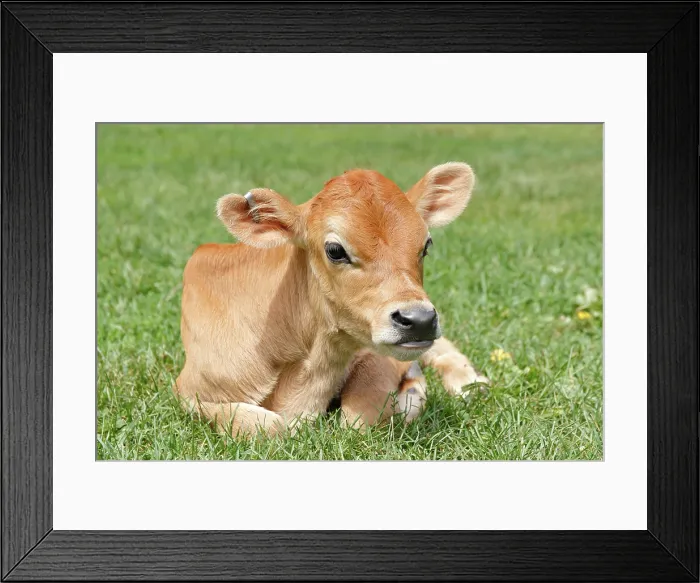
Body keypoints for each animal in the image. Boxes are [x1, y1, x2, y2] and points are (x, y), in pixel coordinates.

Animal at [174, 162, 489, 437]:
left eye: (426, 245)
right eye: (335, 250)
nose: (420, 319)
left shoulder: (377, 352)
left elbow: (359, 416)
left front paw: (412, 392)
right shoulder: (188, 389)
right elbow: (266, 426)